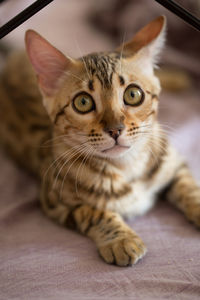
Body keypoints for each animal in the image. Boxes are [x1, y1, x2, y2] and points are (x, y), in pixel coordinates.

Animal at [0, 15, 199, 266]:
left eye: (133, 94)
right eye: (83, 102)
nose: (115, 129)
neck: (128, 166)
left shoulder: (174, 164)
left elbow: (189, 187)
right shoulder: (54, 200)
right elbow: (94, 212)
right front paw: (121, 239)